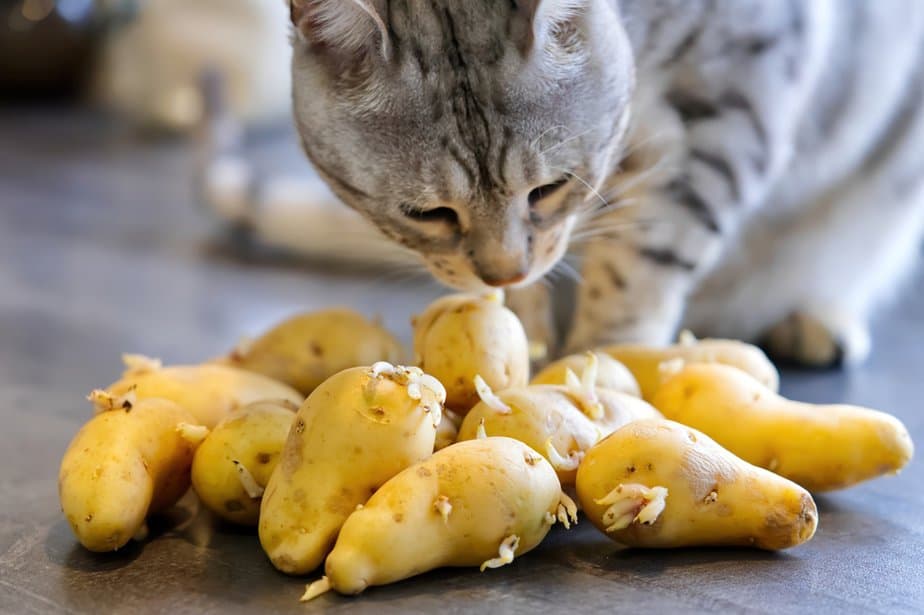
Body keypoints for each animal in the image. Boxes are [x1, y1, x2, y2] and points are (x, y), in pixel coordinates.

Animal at [200, 0, 924, 366]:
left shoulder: (739, 82)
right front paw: (521, 338)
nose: (503, 270)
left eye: (549, 188)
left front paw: (610, 362)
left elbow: (646, 255)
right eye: (428, 213)